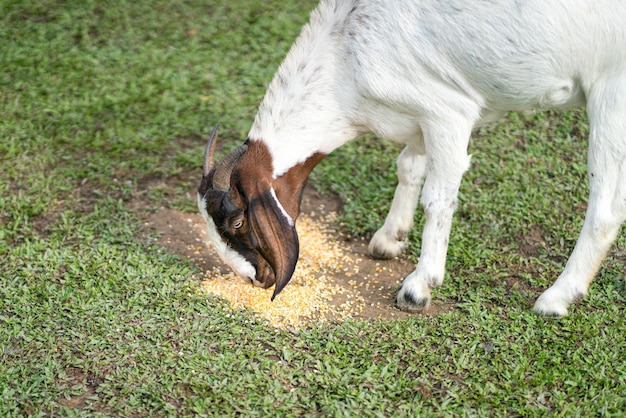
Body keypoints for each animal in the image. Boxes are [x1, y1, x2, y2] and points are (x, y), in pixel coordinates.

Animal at [199, 0, 624, 316]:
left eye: (238, 221)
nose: (256, 278)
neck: (344, 51)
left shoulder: (449, 114)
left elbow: (438, 199)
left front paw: (419, 287)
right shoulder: (417, 119)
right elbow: (408, 166)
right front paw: (390, 238)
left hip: (611, 93)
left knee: (605, 210)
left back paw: (556, 298)